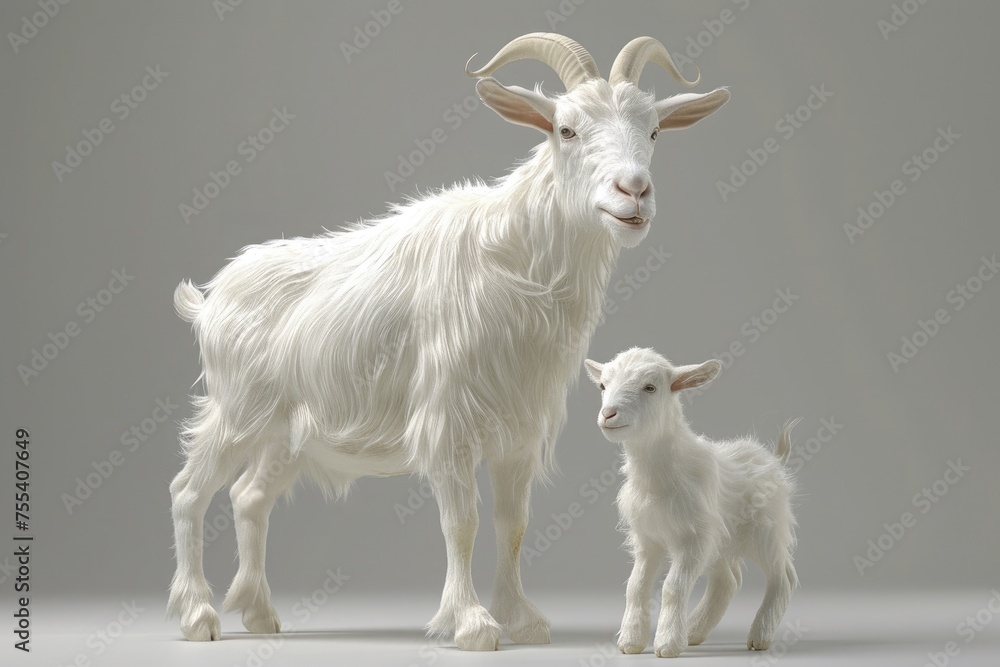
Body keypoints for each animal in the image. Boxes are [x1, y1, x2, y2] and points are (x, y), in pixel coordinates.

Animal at [168, 33, 730, 650]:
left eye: (653, 131)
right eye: (565, 129)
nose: (635, 190)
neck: (516, 260)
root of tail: (210, 299)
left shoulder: (518, 427)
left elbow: (513, 524)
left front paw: (522, 618)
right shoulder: (447, 419)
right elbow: (462, 522)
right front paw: (471, 622)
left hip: (285, 433)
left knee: (249, 498)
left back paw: (259, 613)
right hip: (236, 409)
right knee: (189, 492)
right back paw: (198, 615)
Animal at [584, 348, 798, 657]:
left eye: (650, 387)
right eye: (603, 385)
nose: (608, 414)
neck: (661, 476)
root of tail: (773, 459)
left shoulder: (693, 538)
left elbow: (673, 588)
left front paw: (667, 644)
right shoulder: (648, 539)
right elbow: (636, 587)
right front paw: (631, 641)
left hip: (766, 530)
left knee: (782, 578)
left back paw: (760, 635)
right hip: (722, 540)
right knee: (728, 581)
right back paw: (695, 630)